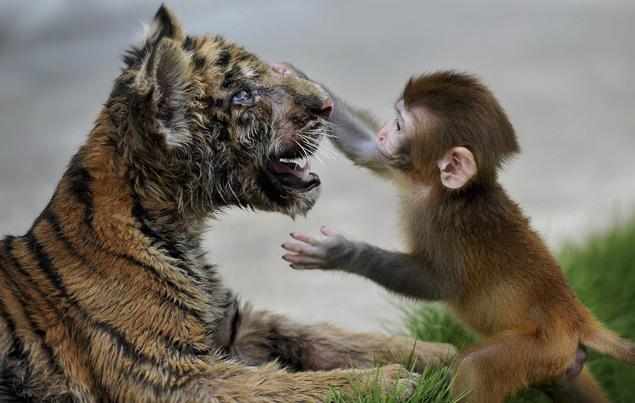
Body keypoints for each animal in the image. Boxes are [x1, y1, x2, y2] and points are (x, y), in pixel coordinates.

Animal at [280, 65, 632, 403]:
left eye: (399, 126)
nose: (384, 133)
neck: (443, 190)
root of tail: (576, 316)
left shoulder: (446, 224)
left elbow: (438, 284)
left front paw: (339, 252)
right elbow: (367, 150)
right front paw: (293, 74)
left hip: (543, 344)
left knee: (476, 366)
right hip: (560, 357)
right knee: (567, 379)